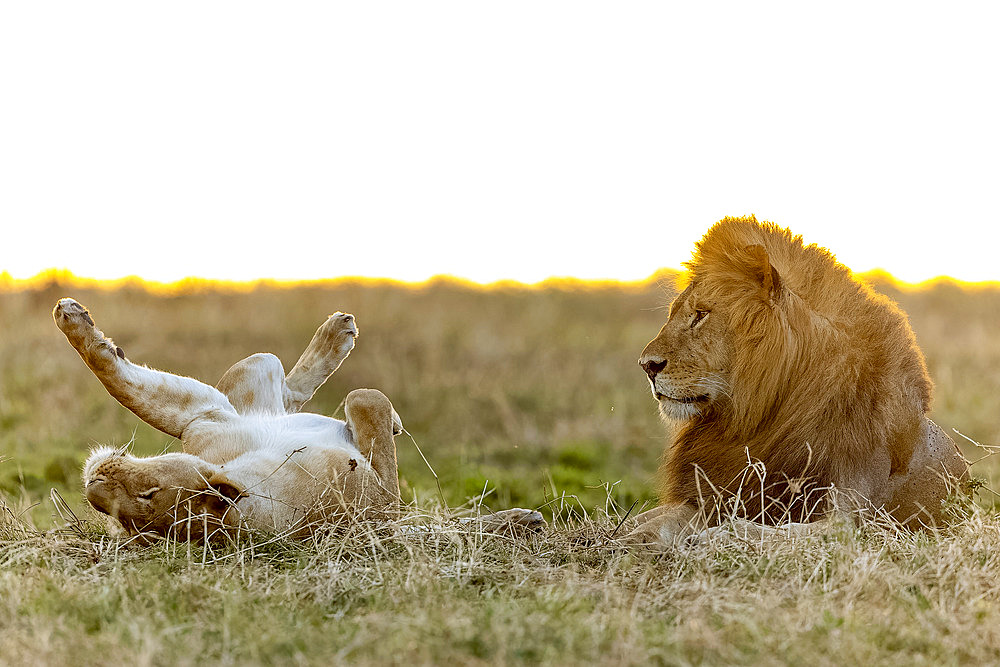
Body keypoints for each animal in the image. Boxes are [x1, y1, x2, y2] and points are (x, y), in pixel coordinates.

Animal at [54, 300, 540, 540]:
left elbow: (115, 375)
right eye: (125, 521)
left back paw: (337, 330)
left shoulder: (203, 416)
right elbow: (367, 399)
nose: (95, 483)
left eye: (150, 491)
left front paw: (73, 320)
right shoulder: (381, 501)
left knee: (284, 387)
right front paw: (390, 419)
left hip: (247, 376)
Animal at [632, 219, 968, 548]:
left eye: (701, 314)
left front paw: (715, 539)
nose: (647, 365)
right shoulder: (720, 493)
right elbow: (656, 520)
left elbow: (768, 531)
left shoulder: (852, 520)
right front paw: (631, 540)